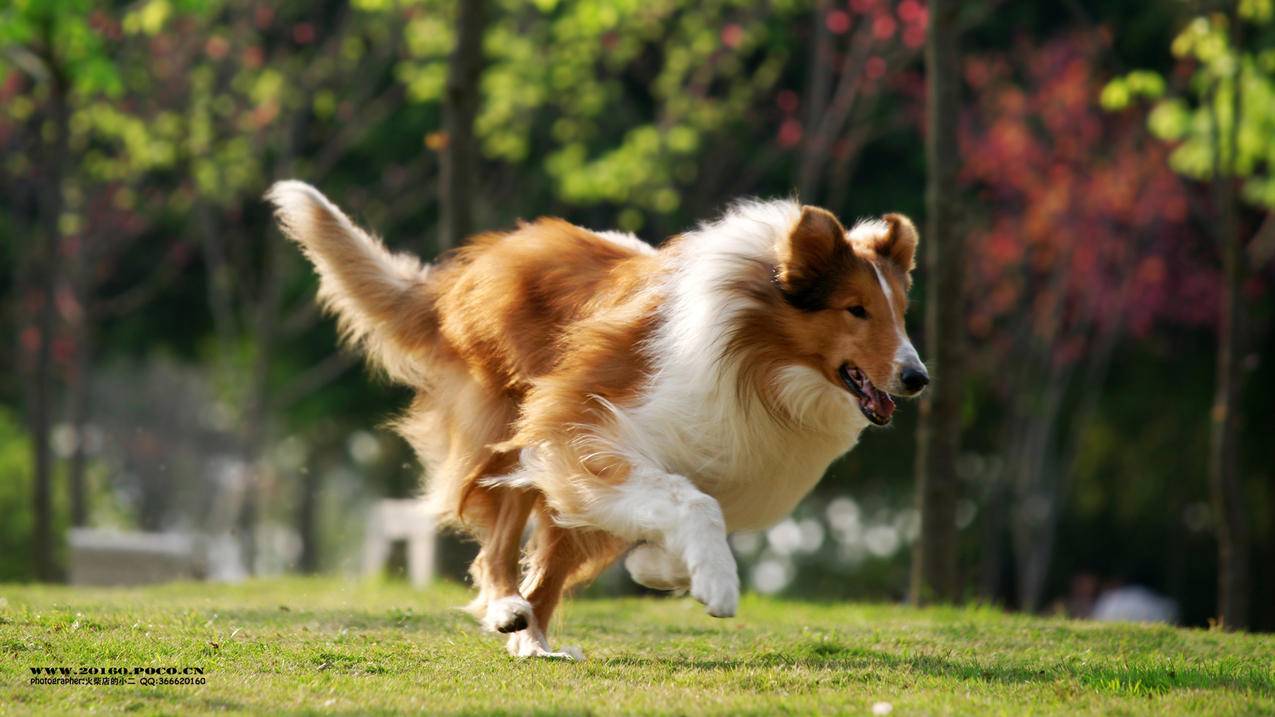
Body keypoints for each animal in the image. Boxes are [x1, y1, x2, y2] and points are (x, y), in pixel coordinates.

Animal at [269, 181, 928, 658]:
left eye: (900, 311)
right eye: (855, 309)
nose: (917, 378)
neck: (756, 351)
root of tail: (466, 274)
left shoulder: (709, 463)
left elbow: (675, 516)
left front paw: (661, 570)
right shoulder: (585, 426)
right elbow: (693, 503)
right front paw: (716, 582)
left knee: (546, 571)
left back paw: (535, 642)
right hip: (512, 427)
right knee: (497, 551)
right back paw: (510, 614)